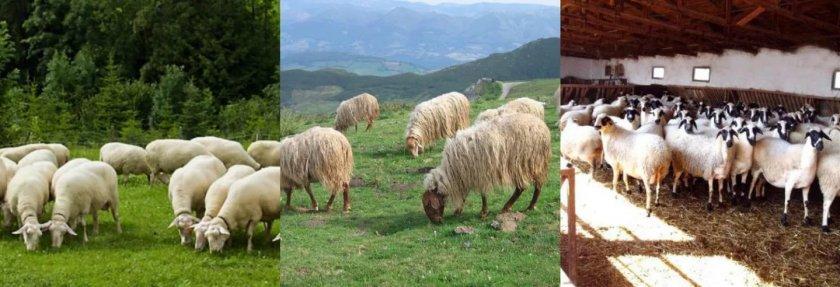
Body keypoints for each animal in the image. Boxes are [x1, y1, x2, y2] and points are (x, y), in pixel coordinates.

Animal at [420, 113, 552, 224]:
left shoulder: (479, 173)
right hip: (533, 164)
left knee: (526, 187)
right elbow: (465, 194)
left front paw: (483, 212)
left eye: (428, 206)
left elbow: (483, 195)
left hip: (526, 163)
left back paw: (521, 207)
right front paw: (459, 210)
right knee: (532, 186)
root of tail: (543, 127)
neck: (452, 171)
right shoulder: (466, 175)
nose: (436, 221)